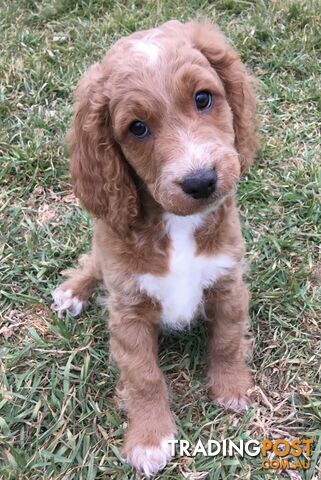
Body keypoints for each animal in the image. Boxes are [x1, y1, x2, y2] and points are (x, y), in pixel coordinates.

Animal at [52, 20, 258, 478]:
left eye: (203, 99)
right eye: (137, 128)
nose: (201, 181)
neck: (176, 225)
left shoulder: (228, 282)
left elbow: (227, 339)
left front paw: (233, 387)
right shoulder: (127, 310)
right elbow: (143, 376)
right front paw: (149, 438)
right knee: (93, 261)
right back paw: (73, 290)